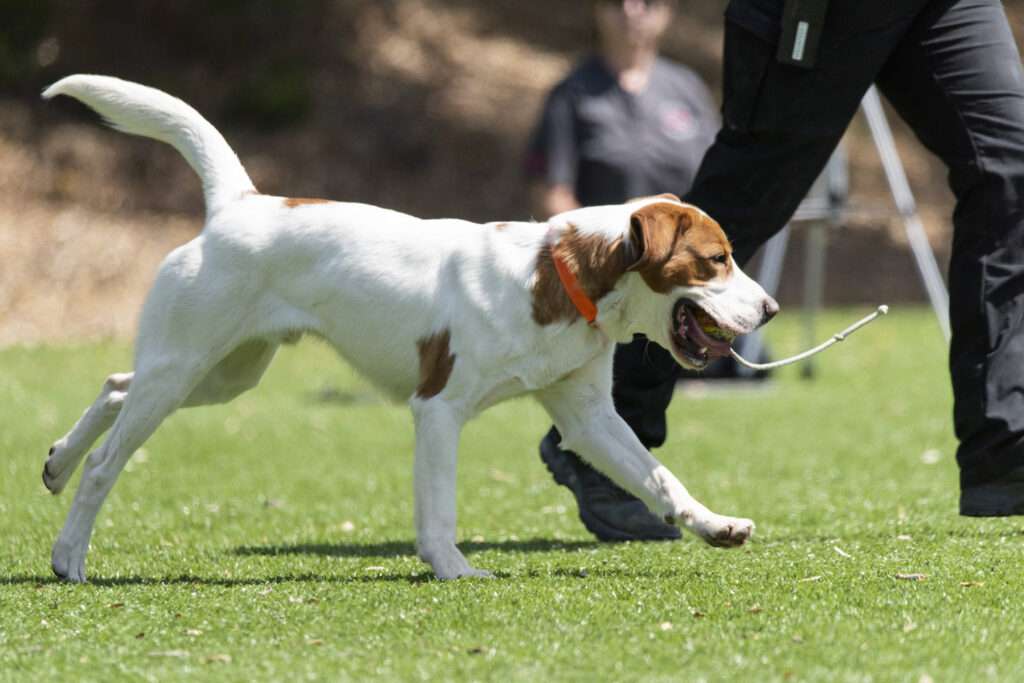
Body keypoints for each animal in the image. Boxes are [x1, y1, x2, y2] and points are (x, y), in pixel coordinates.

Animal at [39, 77, 774, 585]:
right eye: (717, 259)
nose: (769, 309)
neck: (558, 276)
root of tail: (239, 205)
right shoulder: (439, 408)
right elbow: (439, 507)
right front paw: (453, 568)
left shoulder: (587, 415)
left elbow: (660, 478)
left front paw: (717, 525)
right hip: (186, 364)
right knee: (107, 462)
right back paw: (69, 555)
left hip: (223, 372)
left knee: (115, 384)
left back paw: (55, 462)